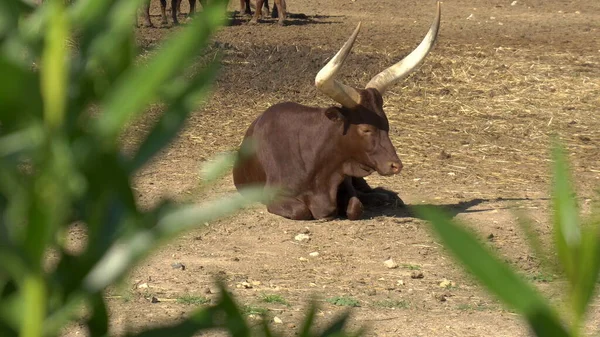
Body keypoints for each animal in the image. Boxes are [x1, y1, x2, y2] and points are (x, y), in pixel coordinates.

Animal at [233, 2, 440, 220]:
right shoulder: (274, 197)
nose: (396, 165)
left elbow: (355, 206)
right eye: (366, 129)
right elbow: (301, 210)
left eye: (387, 125)